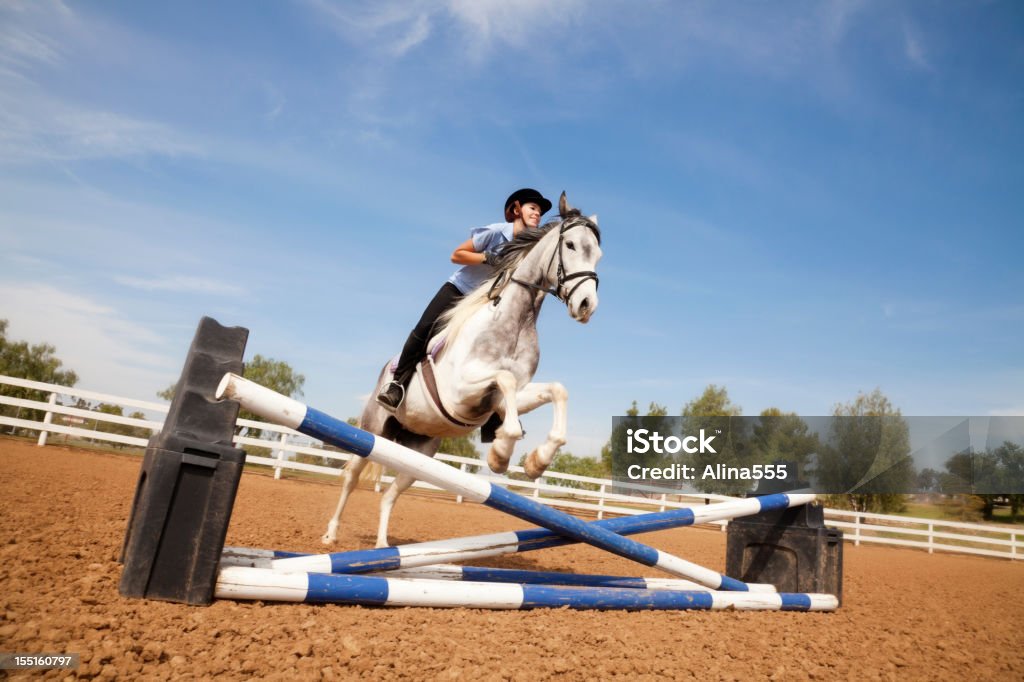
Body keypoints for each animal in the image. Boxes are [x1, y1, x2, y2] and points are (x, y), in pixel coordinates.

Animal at [325, 192, 598, 548]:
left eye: (598, 254)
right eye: (570, 245)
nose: (587, 306)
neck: (514, 320)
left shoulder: (505, 398)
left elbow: (556, 390)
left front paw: (537, 461)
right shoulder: (460, 392)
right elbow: (504, 379)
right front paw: (500, 453)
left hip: (419, 455)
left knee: (389, 495)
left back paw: (383, 546)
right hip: (371, 432)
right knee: (351, 477)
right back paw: (331, 534)